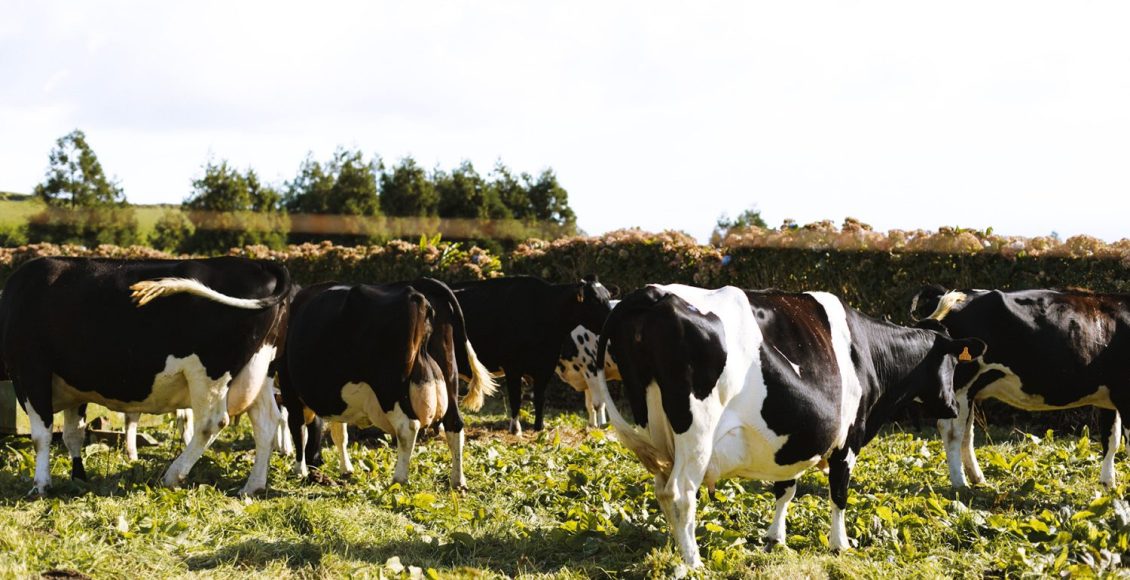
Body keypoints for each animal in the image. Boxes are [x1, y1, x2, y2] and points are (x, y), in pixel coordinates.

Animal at [0, 255, 296, 495]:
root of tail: (261, 264)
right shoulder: (75, 385)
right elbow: (73, 434)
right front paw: (78, 477)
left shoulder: (31, 372)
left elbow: (42, 435)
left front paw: (41, 484)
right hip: (259, 371)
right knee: (268, 422)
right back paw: (252, 486)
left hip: (210, 373)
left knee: (211, 423)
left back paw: (173, 475)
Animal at [274, 278, 494, 486]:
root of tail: (418, 284)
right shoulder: (335, 398)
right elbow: (339, 433)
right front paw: (346, 468)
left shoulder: (290, 389)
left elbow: (298, 429)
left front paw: (299, 470)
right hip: (448, 373)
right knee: (454, 423)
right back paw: (458, 481)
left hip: (390, 388)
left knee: (408, 426)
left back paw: (399, 479)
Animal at [449, 273, 614, 431]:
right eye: (594, 300)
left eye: (608, 296)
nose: (611, 320)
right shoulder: (513, 367)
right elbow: (516, 399)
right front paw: (515, 429)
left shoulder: (546, 366)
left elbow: (539, 398)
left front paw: (539, 428)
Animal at [587, 284, 985, 565]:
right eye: (952, 363)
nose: (953, 406)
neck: (868, 352)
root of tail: (651, 293)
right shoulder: (847, 441)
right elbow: (839, 494)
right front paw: (840, 544)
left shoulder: (790, 438)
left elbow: (786, 488)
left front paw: (775, 538)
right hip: (696, 432)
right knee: (680, 493)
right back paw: (694, 560)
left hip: (654, 430)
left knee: (661, 488)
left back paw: (676, 546)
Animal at [908, 284, 1130, 488]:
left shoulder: (1109, 397)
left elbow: (1111, 440)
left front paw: (1108, 484)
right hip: (960, 383)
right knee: (951, 431)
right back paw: (960, 484)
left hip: (969, 390)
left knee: (966, 433)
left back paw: (978, 479)